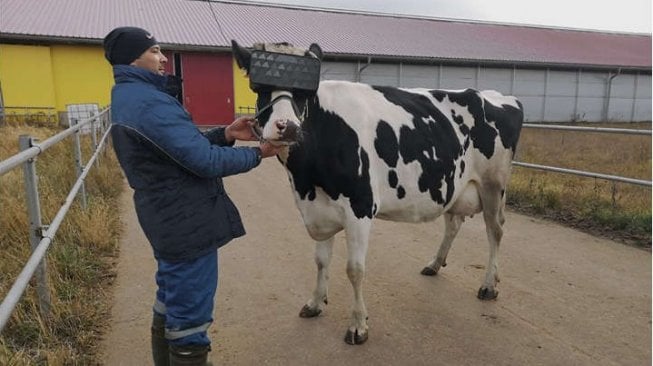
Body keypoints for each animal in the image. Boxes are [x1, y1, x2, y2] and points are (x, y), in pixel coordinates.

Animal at [232, 41, 524, 344]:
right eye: (259, 88)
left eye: (305, 93)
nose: (286, 126)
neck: (306, 180)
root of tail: (498, 96)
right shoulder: (319, 209)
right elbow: (321, 261)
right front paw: (315, 303)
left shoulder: (360, 207)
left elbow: (354, 269)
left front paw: (358, 325)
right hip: (454, 184)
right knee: (453, 223)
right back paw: (435, 264)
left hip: (493, 185)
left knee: (495, 230)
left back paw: (489, 285)